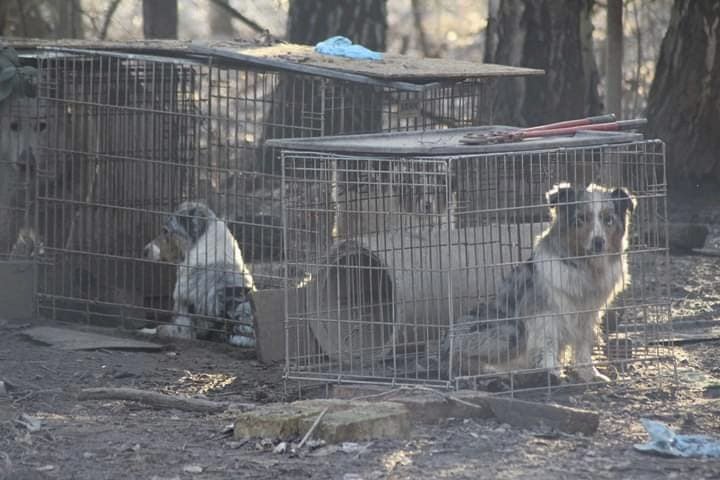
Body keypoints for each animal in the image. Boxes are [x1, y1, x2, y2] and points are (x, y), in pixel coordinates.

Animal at [448, 183, 640, 382]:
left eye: (608, 220)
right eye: (580, 219)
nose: (598, 242)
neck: (583, 266)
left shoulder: (588, 315)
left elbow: (583, 346)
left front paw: (590, 373)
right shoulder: (544, 314)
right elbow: (547, 344)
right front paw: (552, 372)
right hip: (509, 330)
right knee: (463, 360)